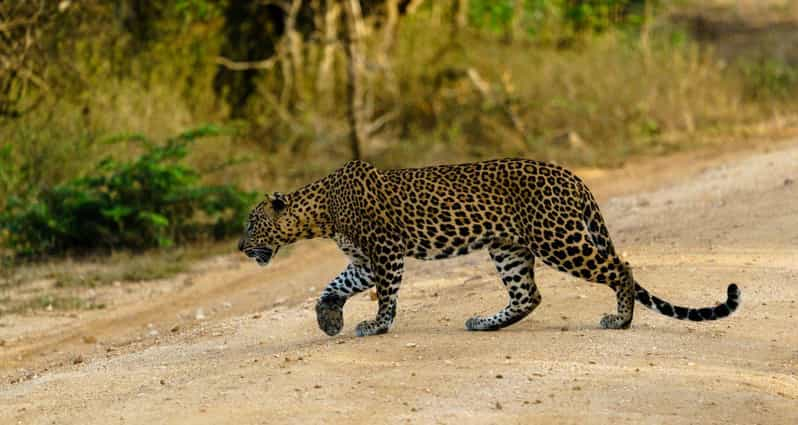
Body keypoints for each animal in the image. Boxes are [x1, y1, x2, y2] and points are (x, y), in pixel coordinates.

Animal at [239, 157, 744, 336]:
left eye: (251, 223)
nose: (240, 247)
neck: (320, 212)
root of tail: (574, 177)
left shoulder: (385, 252)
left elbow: (386, 296)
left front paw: (376, 326)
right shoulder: (363, 261)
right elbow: (333, 285)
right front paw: (329, 319)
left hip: (558, 239)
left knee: (622, 266)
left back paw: (620, 320)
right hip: (508, 247)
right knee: (528, 295)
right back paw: (485, 323)